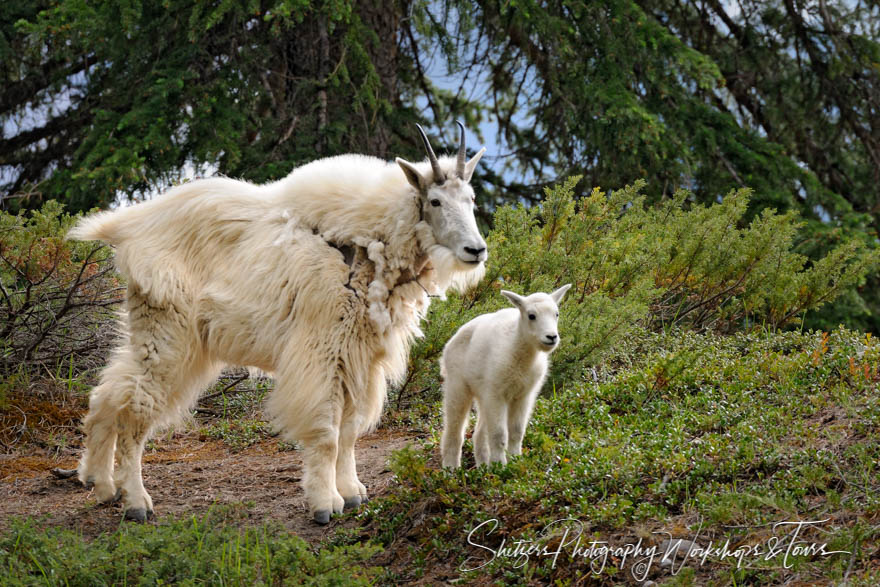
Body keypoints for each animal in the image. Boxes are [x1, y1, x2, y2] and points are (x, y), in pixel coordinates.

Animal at [62, 120, 488, 524]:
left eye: (470, 199)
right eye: (434, 200)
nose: (476, 250)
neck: (369, 245)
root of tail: (128, 229)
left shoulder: (358, 355)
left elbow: (350, 430)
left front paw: (352, 493)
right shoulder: (323, 349)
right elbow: (328, 433)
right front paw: (325, 504)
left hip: (161, 335)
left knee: (108, 393)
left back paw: (101, 484)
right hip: (169, 334)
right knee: (134, 410)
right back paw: (136, 502)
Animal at [440, 284, 572, 468]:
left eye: (556, 313)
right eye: (531, 315)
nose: (551, 337)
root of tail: (450, 343)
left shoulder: (523, 395)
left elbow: (516, 431)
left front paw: (515, 460)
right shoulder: (497, 393)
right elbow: (499, 433)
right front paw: (500, 465)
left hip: (483, 394)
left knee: (479, 432)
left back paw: (483, 466)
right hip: (457, 384)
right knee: (454, 427)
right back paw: (450, 467)